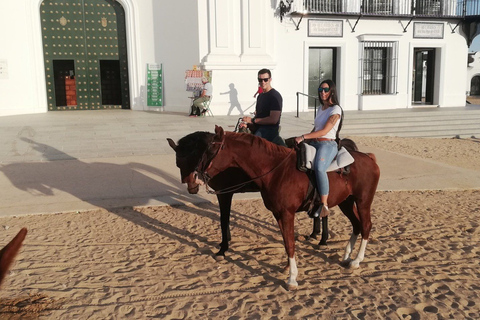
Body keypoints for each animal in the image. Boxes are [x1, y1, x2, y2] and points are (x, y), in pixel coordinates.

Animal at [176, 127, 378, 290]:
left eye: (210, 150)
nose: (195, 178)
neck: (277, 170)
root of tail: (369, 157)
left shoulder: (286, 213)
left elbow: (290, 243)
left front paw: (292, 279)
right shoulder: (278, 214)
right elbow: (286, 242)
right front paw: (288, 268)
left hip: (363, 201)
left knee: (366, 226)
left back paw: (356, 260)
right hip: (346, 202)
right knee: (356, 225)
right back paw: (346, 257)